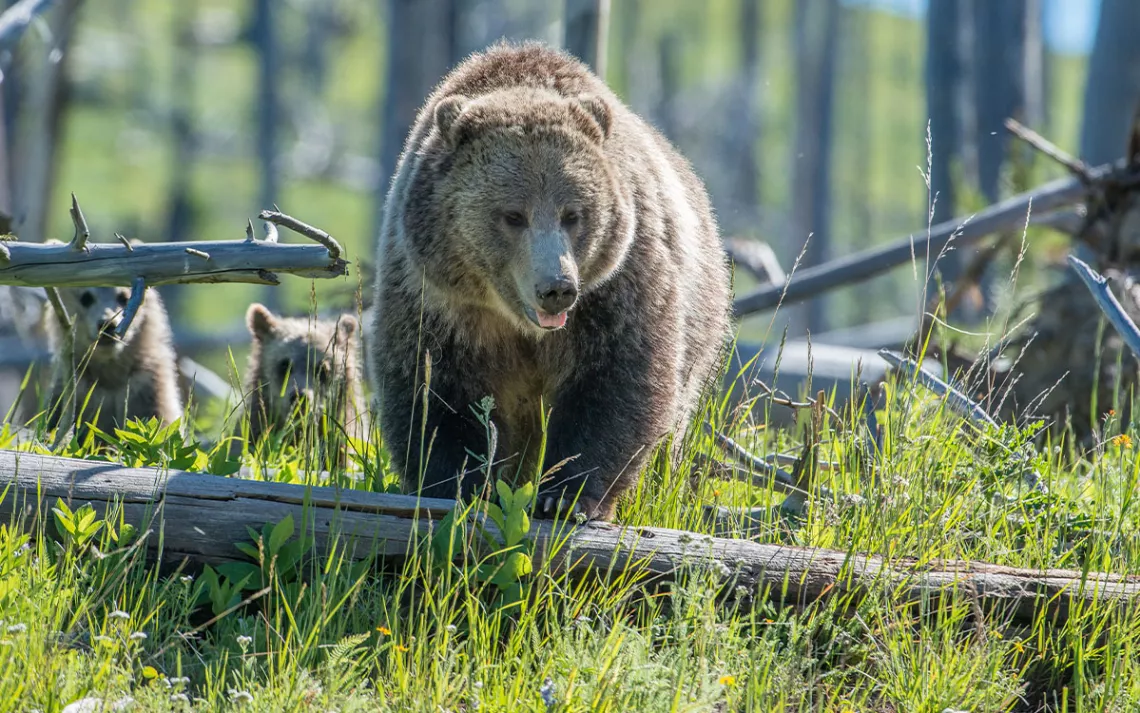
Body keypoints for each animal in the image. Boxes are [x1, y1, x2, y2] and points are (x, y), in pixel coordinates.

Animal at [43, 284, 183, 439]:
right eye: (86, 297)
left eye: (124, 297)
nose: (107, 324)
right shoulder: (73, 388)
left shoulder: (147, 387)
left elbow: (162, 424)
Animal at [369, 41, 733, 521]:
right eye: (512, 215)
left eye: (572, 213)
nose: (556, 287)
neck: (513, 321)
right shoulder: (437, 300)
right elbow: (434, 388)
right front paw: (461, 485)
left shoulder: (616, 288)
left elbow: (614, 379)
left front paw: (564, 495)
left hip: (700, 322)